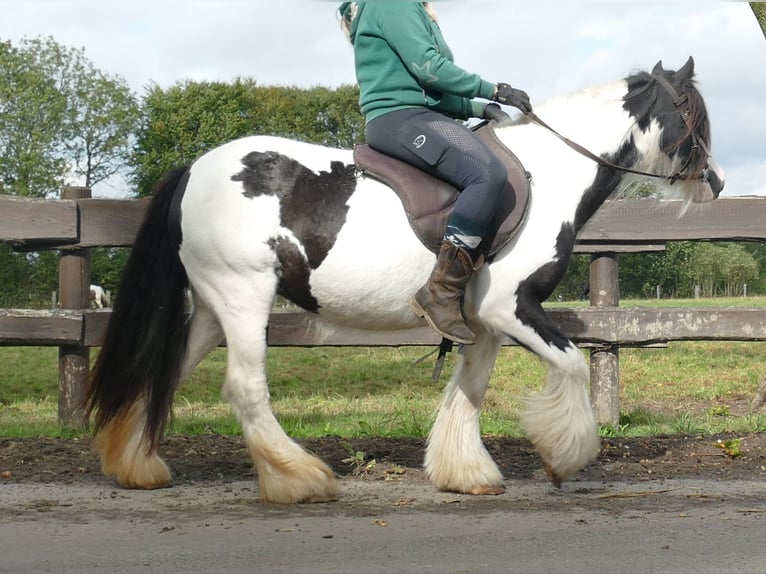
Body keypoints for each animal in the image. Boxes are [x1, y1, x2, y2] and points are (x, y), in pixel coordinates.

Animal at [85, 58, 728, 504]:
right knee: (245, 388)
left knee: (166, 370)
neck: (549, 173)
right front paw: (564, 458)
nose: (716, 182)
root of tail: (195, 168)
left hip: (214, 306)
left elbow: (469, 390)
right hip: (244, 297)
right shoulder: (510, 308)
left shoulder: (481, 323)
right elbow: (569, 364)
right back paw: (299, 479)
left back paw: (137, 466)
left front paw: (466, 473)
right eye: (691, 113)